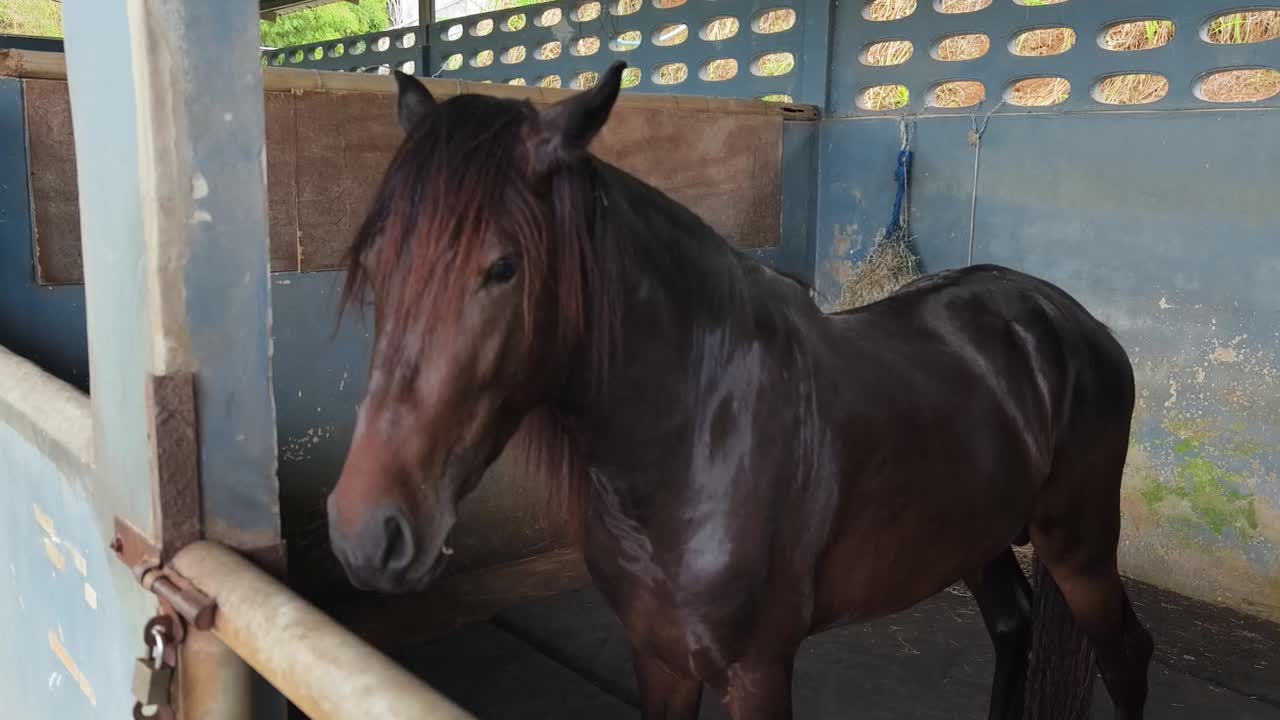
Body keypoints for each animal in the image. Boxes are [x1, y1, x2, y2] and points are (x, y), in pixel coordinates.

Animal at [325, 61, 1154, 719]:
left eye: (502, 267)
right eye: (378, 259)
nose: (366, 531)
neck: (696, 438)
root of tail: (1072, 321)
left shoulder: (758, 672)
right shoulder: (658, 660)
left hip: (1080, 545)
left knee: (1127, 654)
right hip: (974, 533)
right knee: (1014, 625)